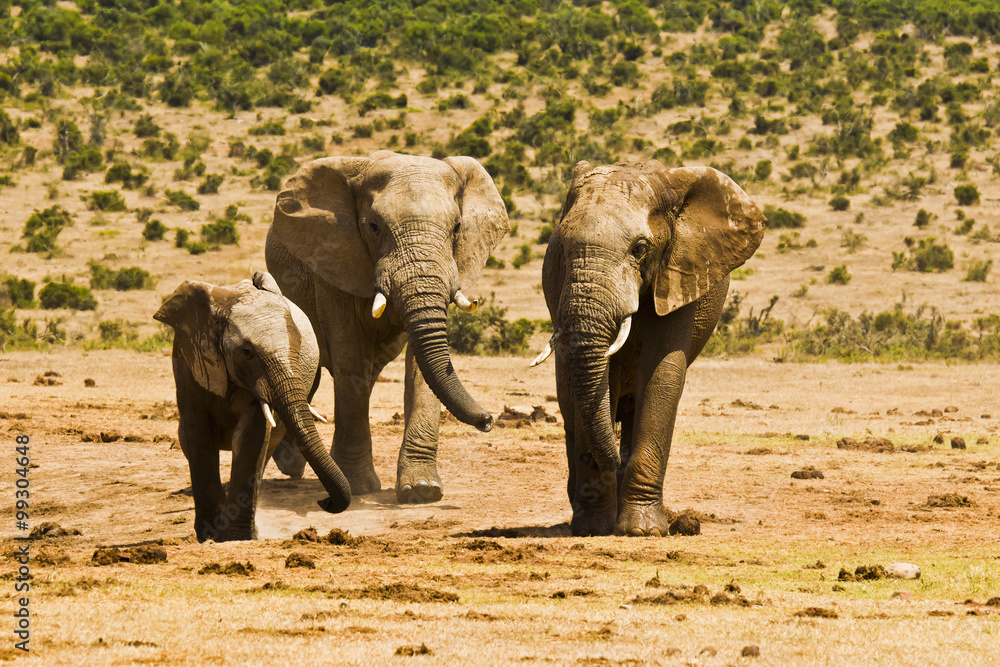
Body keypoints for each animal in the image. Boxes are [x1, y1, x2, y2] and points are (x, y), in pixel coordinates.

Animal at [153, 272, 352, 542]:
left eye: (298, 346)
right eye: (246, 352)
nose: (324, 502)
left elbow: (250, 436)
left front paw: (233, 537)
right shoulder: (187, 360)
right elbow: (198, 434)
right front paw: (209, 534)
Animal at [264, 150, 509, 504]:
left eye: (457, 228)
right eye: (374, 227)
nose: (488, 420)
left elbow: (420, 366)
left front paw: (422, 491)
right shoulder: (334, 259)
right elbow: (351, 355)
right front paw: (357, 486)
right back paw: (291, 465)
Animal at [533, 161, 765, 537]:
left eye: (640, 248)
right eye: (561, 248)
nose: (613, 460)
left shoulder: (682, 275)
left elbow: (661, 374)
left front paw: (643, 531)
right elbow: (603, 382)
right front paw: (595, 528)